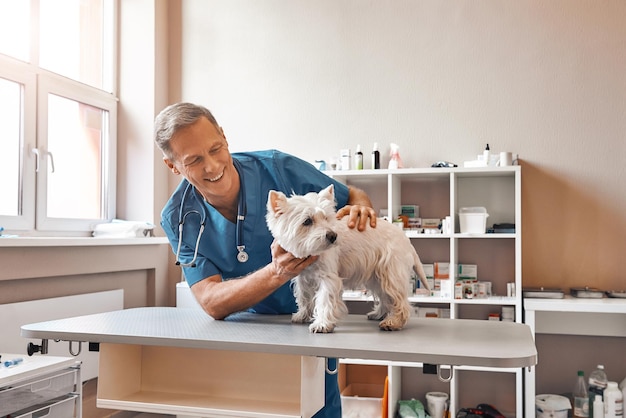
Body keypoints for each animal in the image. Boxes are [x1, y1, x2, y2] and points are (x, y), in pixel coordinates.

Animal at [264, 185, 428, 334]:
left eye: (326, 218)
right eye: (307, 221)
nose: (332, 236)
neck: (312, 254)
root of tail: (405, 239)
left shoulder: (328, 278)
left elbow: (324, 300)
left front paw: (322, 324)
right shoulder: (303, 278)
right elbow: (304, 297)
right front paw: (302, 315)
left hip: (391, 273)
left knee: (399, 301)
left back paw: (393, 322)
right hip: (377, 276)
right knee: (385, 297)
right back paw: (378, 314)